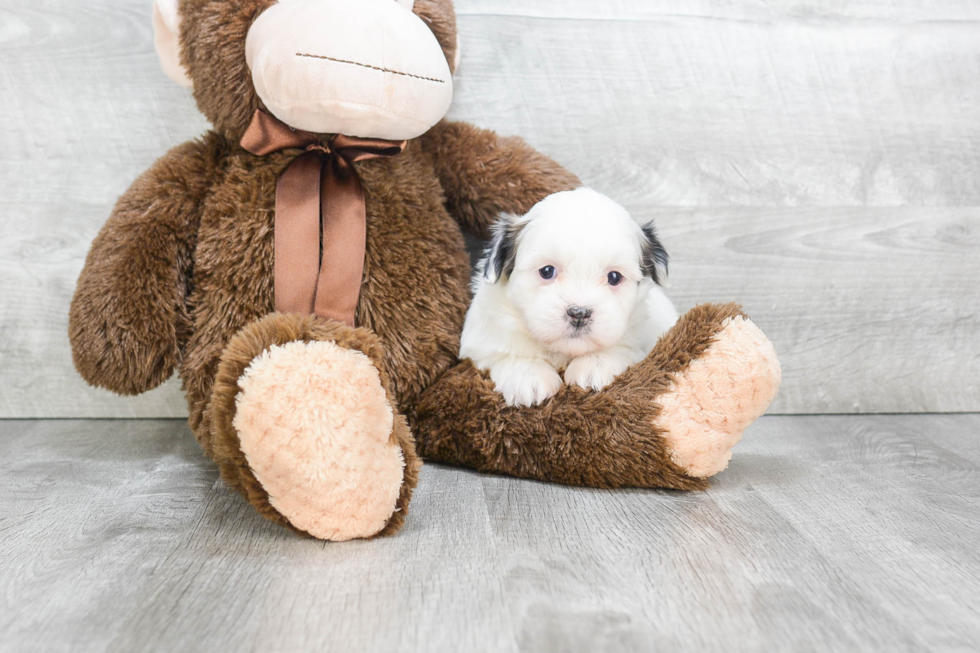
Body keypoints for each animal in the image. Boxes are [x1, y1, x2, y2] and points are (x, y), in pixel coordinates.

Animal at [462, 186, 680, 404]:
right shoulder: (479, 346)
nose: (579, 313)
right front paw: (528, 376)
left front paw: (595, 364)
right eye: (547, 271)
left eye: (614, 277)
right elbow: (502, 354)